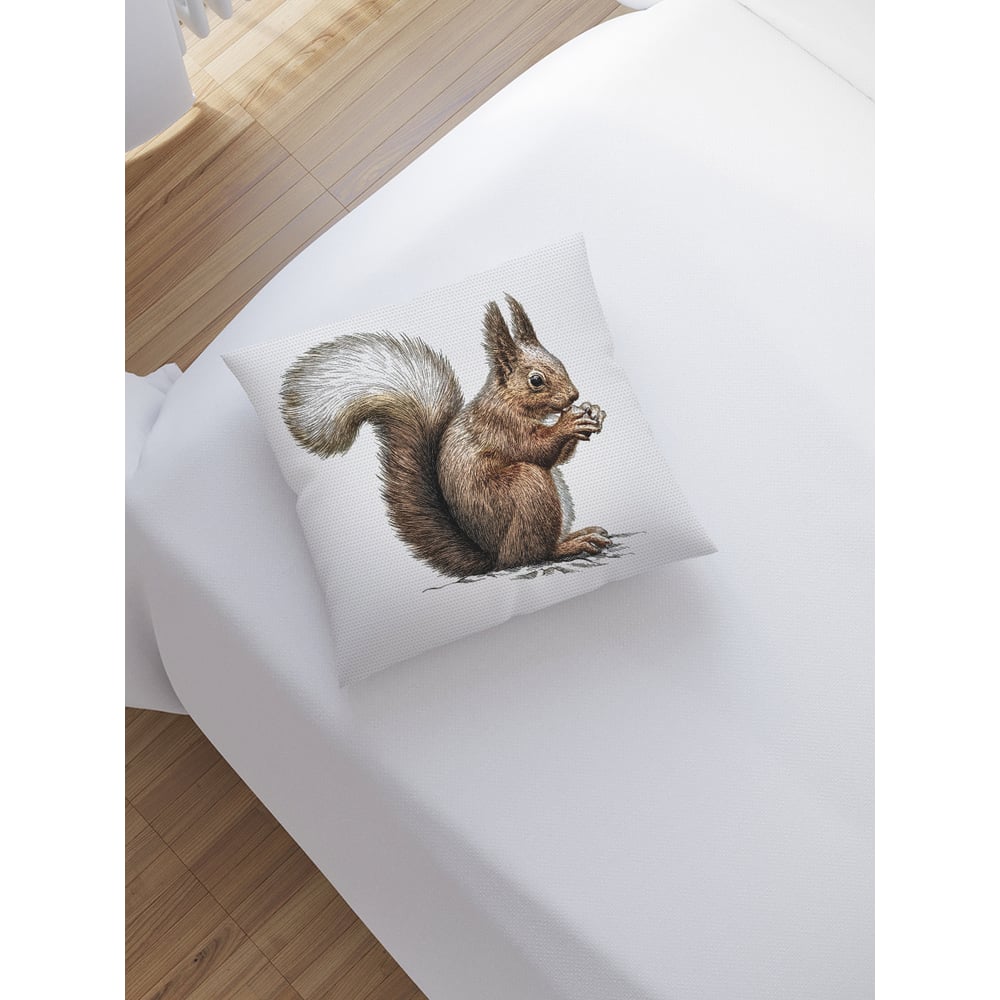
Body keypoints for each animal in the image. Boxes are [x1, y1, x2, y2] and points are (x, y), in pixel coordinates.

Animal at [280, 293, 610, 577]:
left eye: (559, 361)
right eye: (536, 380)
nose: (573, 395)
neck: (507, 400)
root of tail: (492, 558)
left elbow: (559, 458)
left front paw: (593, 411)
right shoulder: (500, 426)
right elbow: (536, 449)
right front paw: (569, 422)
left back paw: (580, 534)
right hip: (527, 490)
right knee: (528, 555)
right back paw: (569, 545)